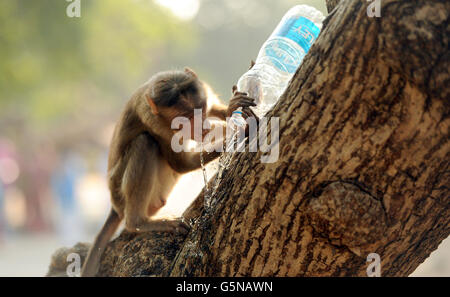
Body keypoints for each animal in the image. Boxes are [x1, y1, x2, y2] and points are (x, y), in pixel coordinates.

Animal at [80, 67, 256, 276]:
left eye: (201, 110)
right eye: (185, 118)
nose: (202, 126)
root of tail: (115, 207)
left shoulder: (204, 91)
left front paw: (233, 108)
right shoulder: (156, 124)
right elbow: (181, 164)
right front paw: (237, 130)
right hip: (122, 193)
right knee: (145, 142)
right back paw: (138, 222)